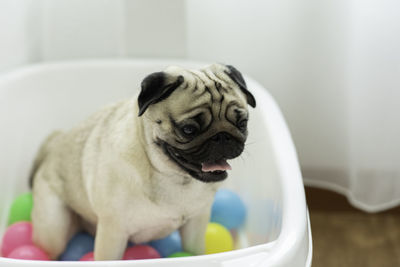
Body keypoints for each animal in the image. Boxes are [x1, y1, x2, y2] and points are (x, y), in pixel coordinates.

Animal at [28, 63, 256, 260]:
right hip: (53, 228)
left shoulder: (196, 223)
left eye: (242, 123)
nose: (222, 137)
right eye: (188, 129)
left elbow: (196, 251)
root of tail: (52, 146)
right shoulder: (113, 233)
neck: (173, 178)